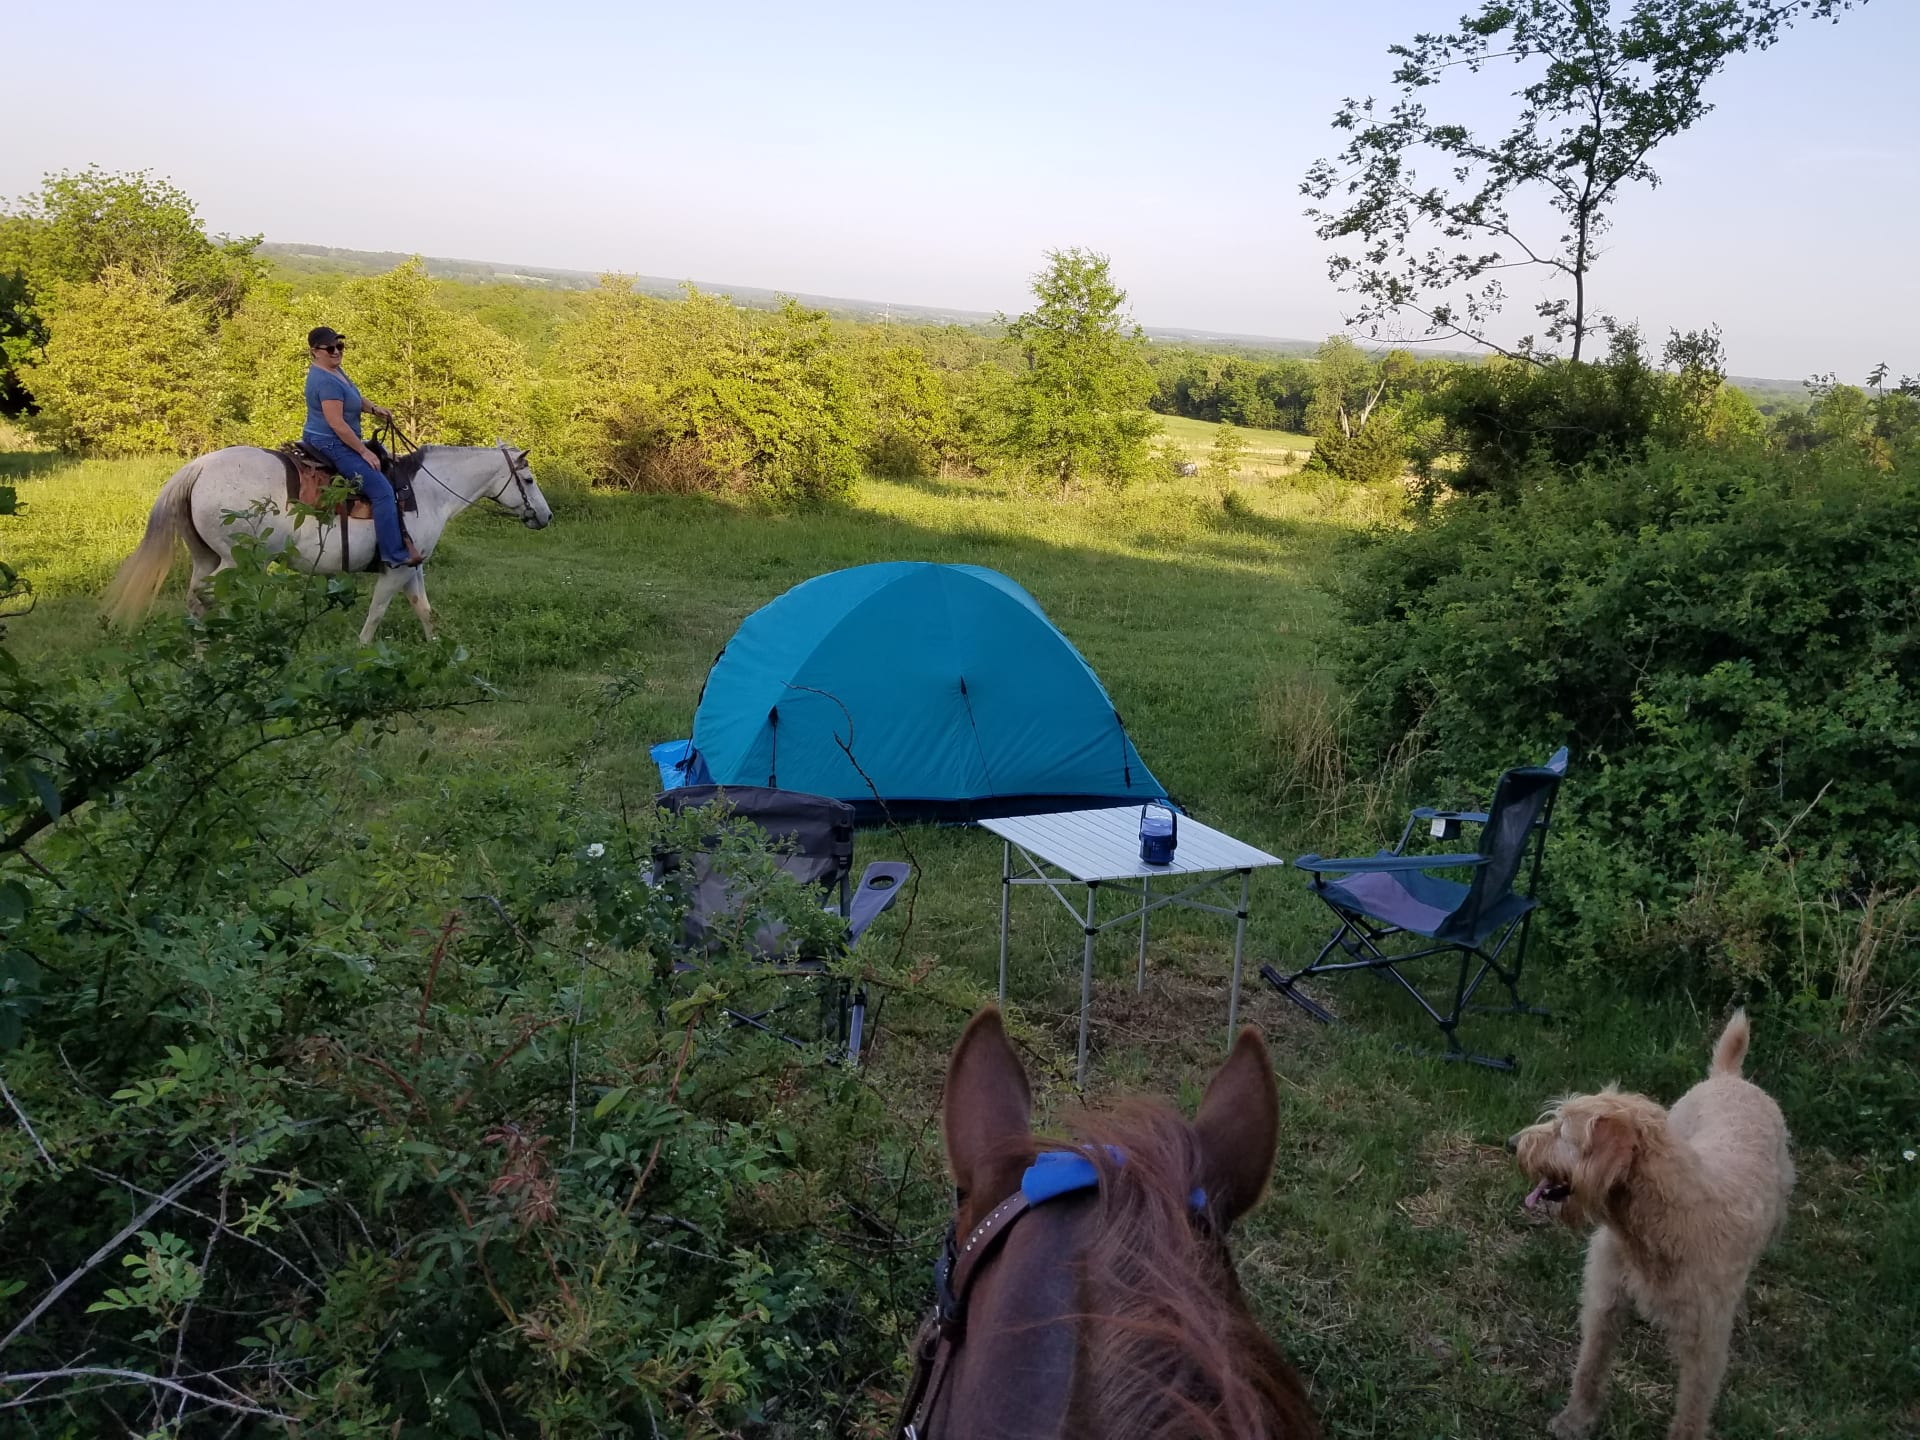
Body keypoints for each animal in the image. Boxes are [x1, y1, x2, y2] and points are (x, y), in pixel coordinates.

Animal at [108, 439, 549, 641]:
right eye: (528, 480)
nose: (545, 516)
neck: (426, 493)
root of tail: (199, 467)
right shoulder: (394, 568)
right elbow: (376, 613)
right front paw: (362, 653)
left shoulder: (412, 565)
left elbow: (425, 610)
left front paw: (439, 647)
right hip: (238, 561)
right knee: (210, 599)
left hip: (205, 557)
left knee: (196, 600)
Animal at [1512, 1013, 1797, 1440]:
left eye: (1563, 1131)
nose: (1513, 1143)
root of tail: (1730, 1077)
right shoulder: (1605, 1298)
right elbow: (1589, 1367)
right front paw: (1575, 1420)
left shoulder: (1704, 1344)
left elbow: (1692, 1410)